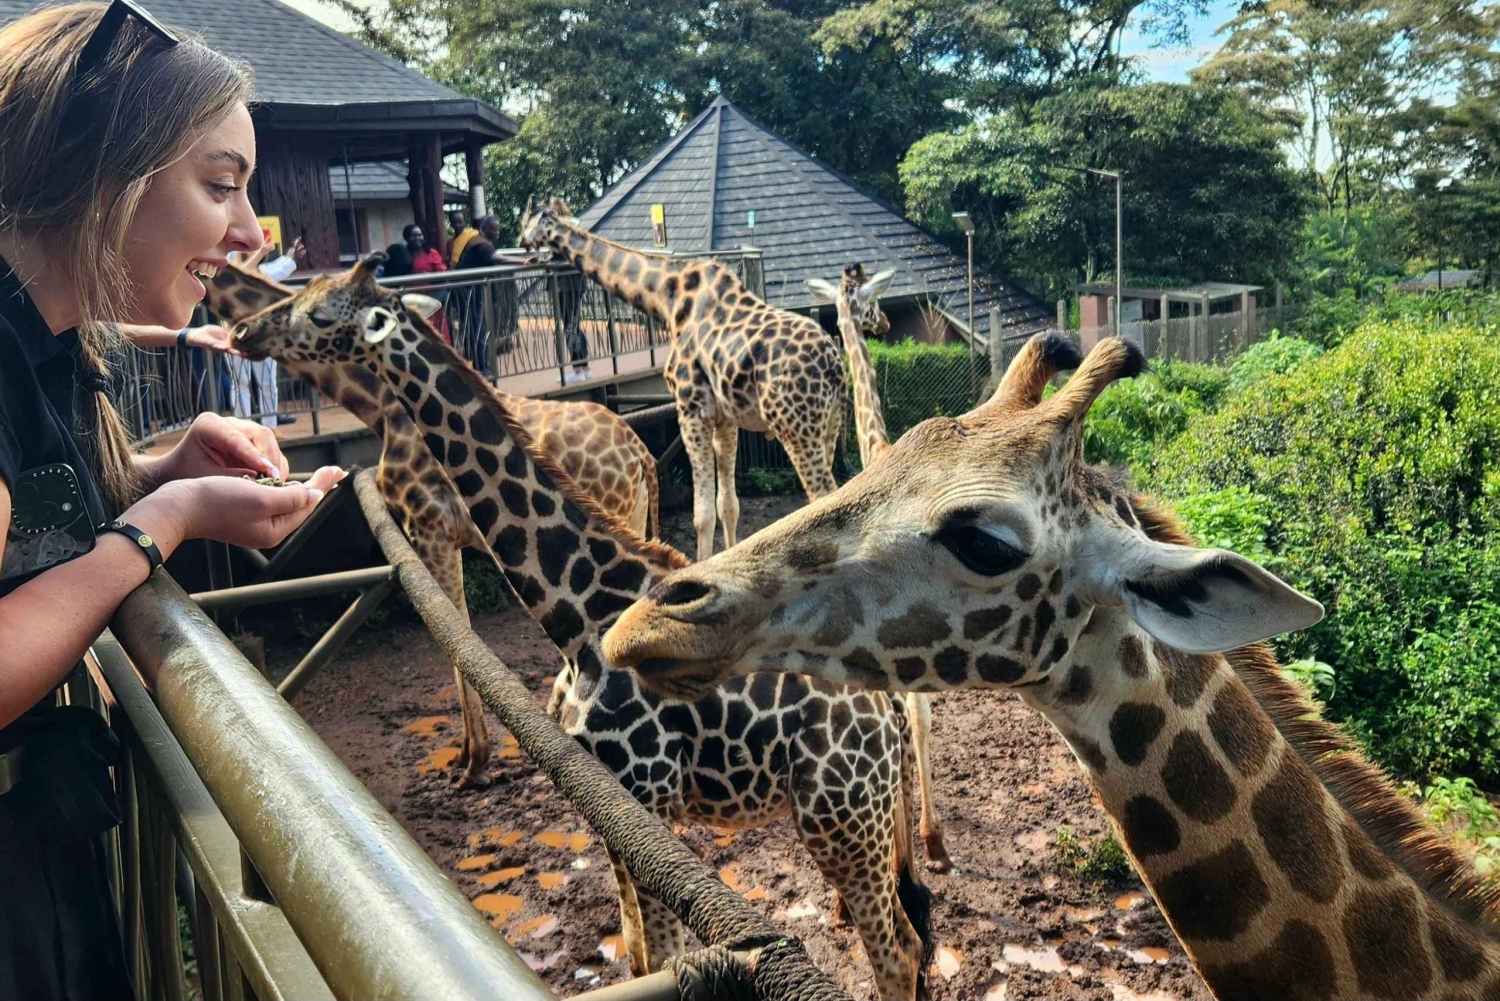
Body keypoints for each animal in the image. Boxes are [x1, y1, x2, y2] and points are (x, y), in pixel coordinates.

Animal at [201, 262, 659, 788]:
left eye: (310, 313)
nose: (239, 332)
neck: (379, 409)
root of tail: (640, 454)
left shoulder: (428, 528)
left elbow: (455, 641)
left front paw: (472, 763)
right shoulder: (448, 538)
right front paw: (469, 757)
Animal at [519, 197, 847, 560]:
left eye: (525, 220)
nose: (521, 242)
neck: (666, 297)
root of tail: (833, 364)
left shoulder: (689, 410)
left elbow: (701, 514)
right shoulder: (724, 419)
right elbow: (727, 504)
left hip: (796, 427)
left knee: (823, 496)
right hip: (828, 424)